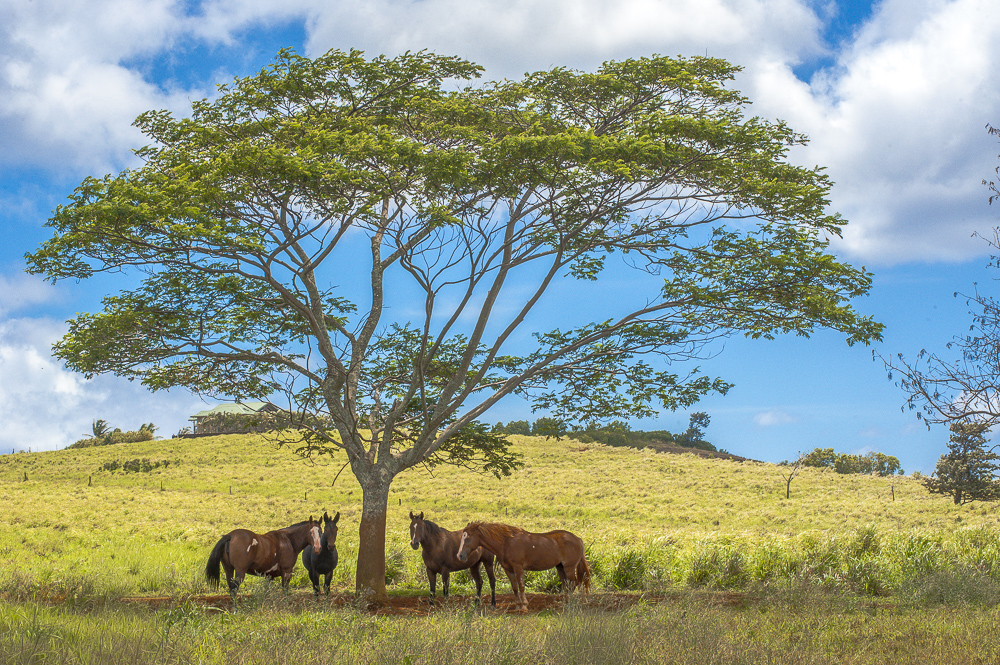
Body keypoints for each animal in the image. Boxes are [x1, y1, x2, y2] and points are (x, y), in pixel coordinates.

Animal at [457, 521, 590, 611]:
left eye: (468, 538)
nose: (460, 556)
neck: (506, 542)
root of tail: (578, 539)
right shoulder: (508, 569)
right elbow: (514, 587)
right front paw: (517, 605)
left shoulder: (518, 567)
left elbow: (521, 585)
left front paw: (524, 605)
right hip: (560, 567)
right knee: (567, 585)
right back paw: (566, 603)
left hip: (569, 567)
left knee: (573, 584)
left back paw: (572, 603)